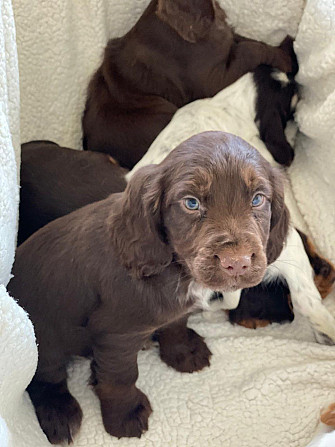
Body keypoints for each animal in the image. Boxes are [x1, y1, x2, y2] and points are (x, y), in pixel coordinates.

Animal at [9, 131, 290, 442]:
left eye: (258, 199)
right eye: (191, 203)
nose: (236, 263)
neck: (176, 268)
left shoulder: (174, 310)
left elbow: (175, 325)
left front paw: (183, 352)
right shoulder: (116, 334)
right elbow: (120, 377)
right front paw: (125, 415)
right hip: (43, 340)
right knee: (46, 377)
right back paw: (59, 413)